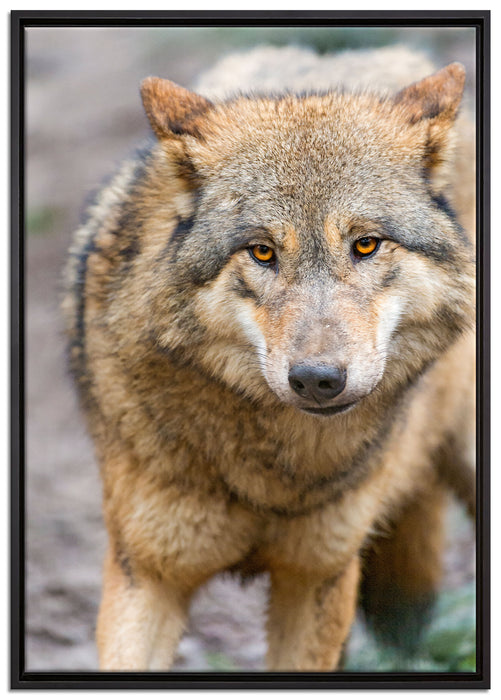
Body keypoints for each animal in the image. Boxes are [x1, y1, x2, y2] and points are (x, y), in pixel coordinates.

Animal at [63, 46, 475, 671]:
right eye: (261, 252)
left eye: (365, 244)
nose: (318, 380)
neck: (271, 476)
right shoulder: (146, 575)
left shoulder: (319, 577)